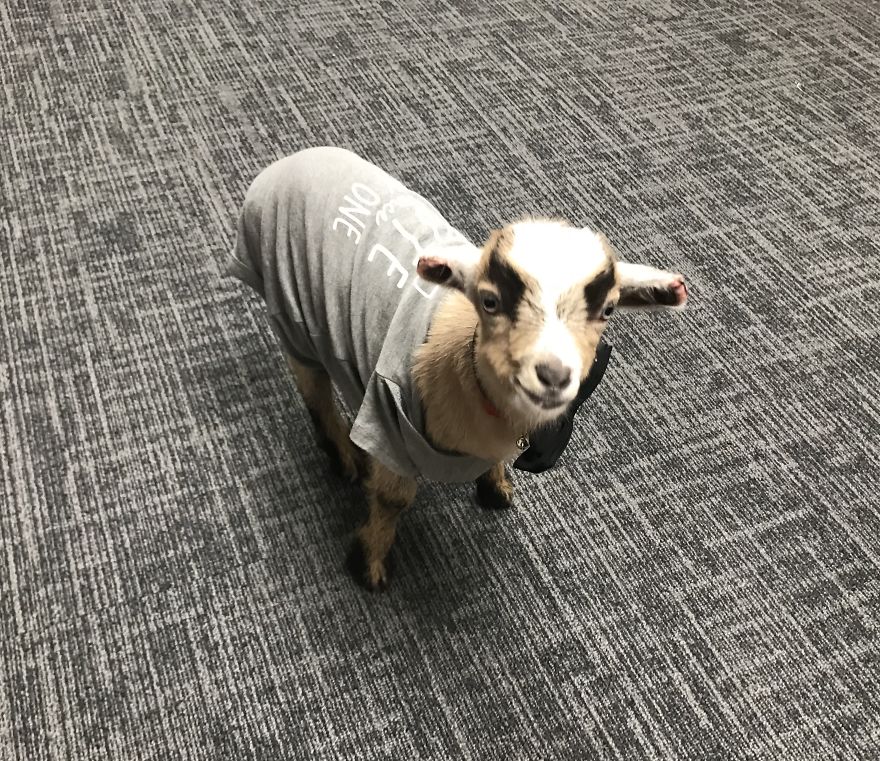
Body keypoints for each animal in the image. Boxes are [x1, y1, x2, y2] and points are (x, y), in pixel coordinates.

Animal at [228, 147, 687, 591]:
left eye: (608, 309)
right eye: (489, 300)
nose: (554, 375)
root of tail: (283, 166)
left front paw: (495, 485)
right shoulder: (386, 422)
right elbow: (394, 497)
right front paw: (371, 564)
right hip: (291, 314)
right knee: (315, 391)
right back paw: (344, 455)